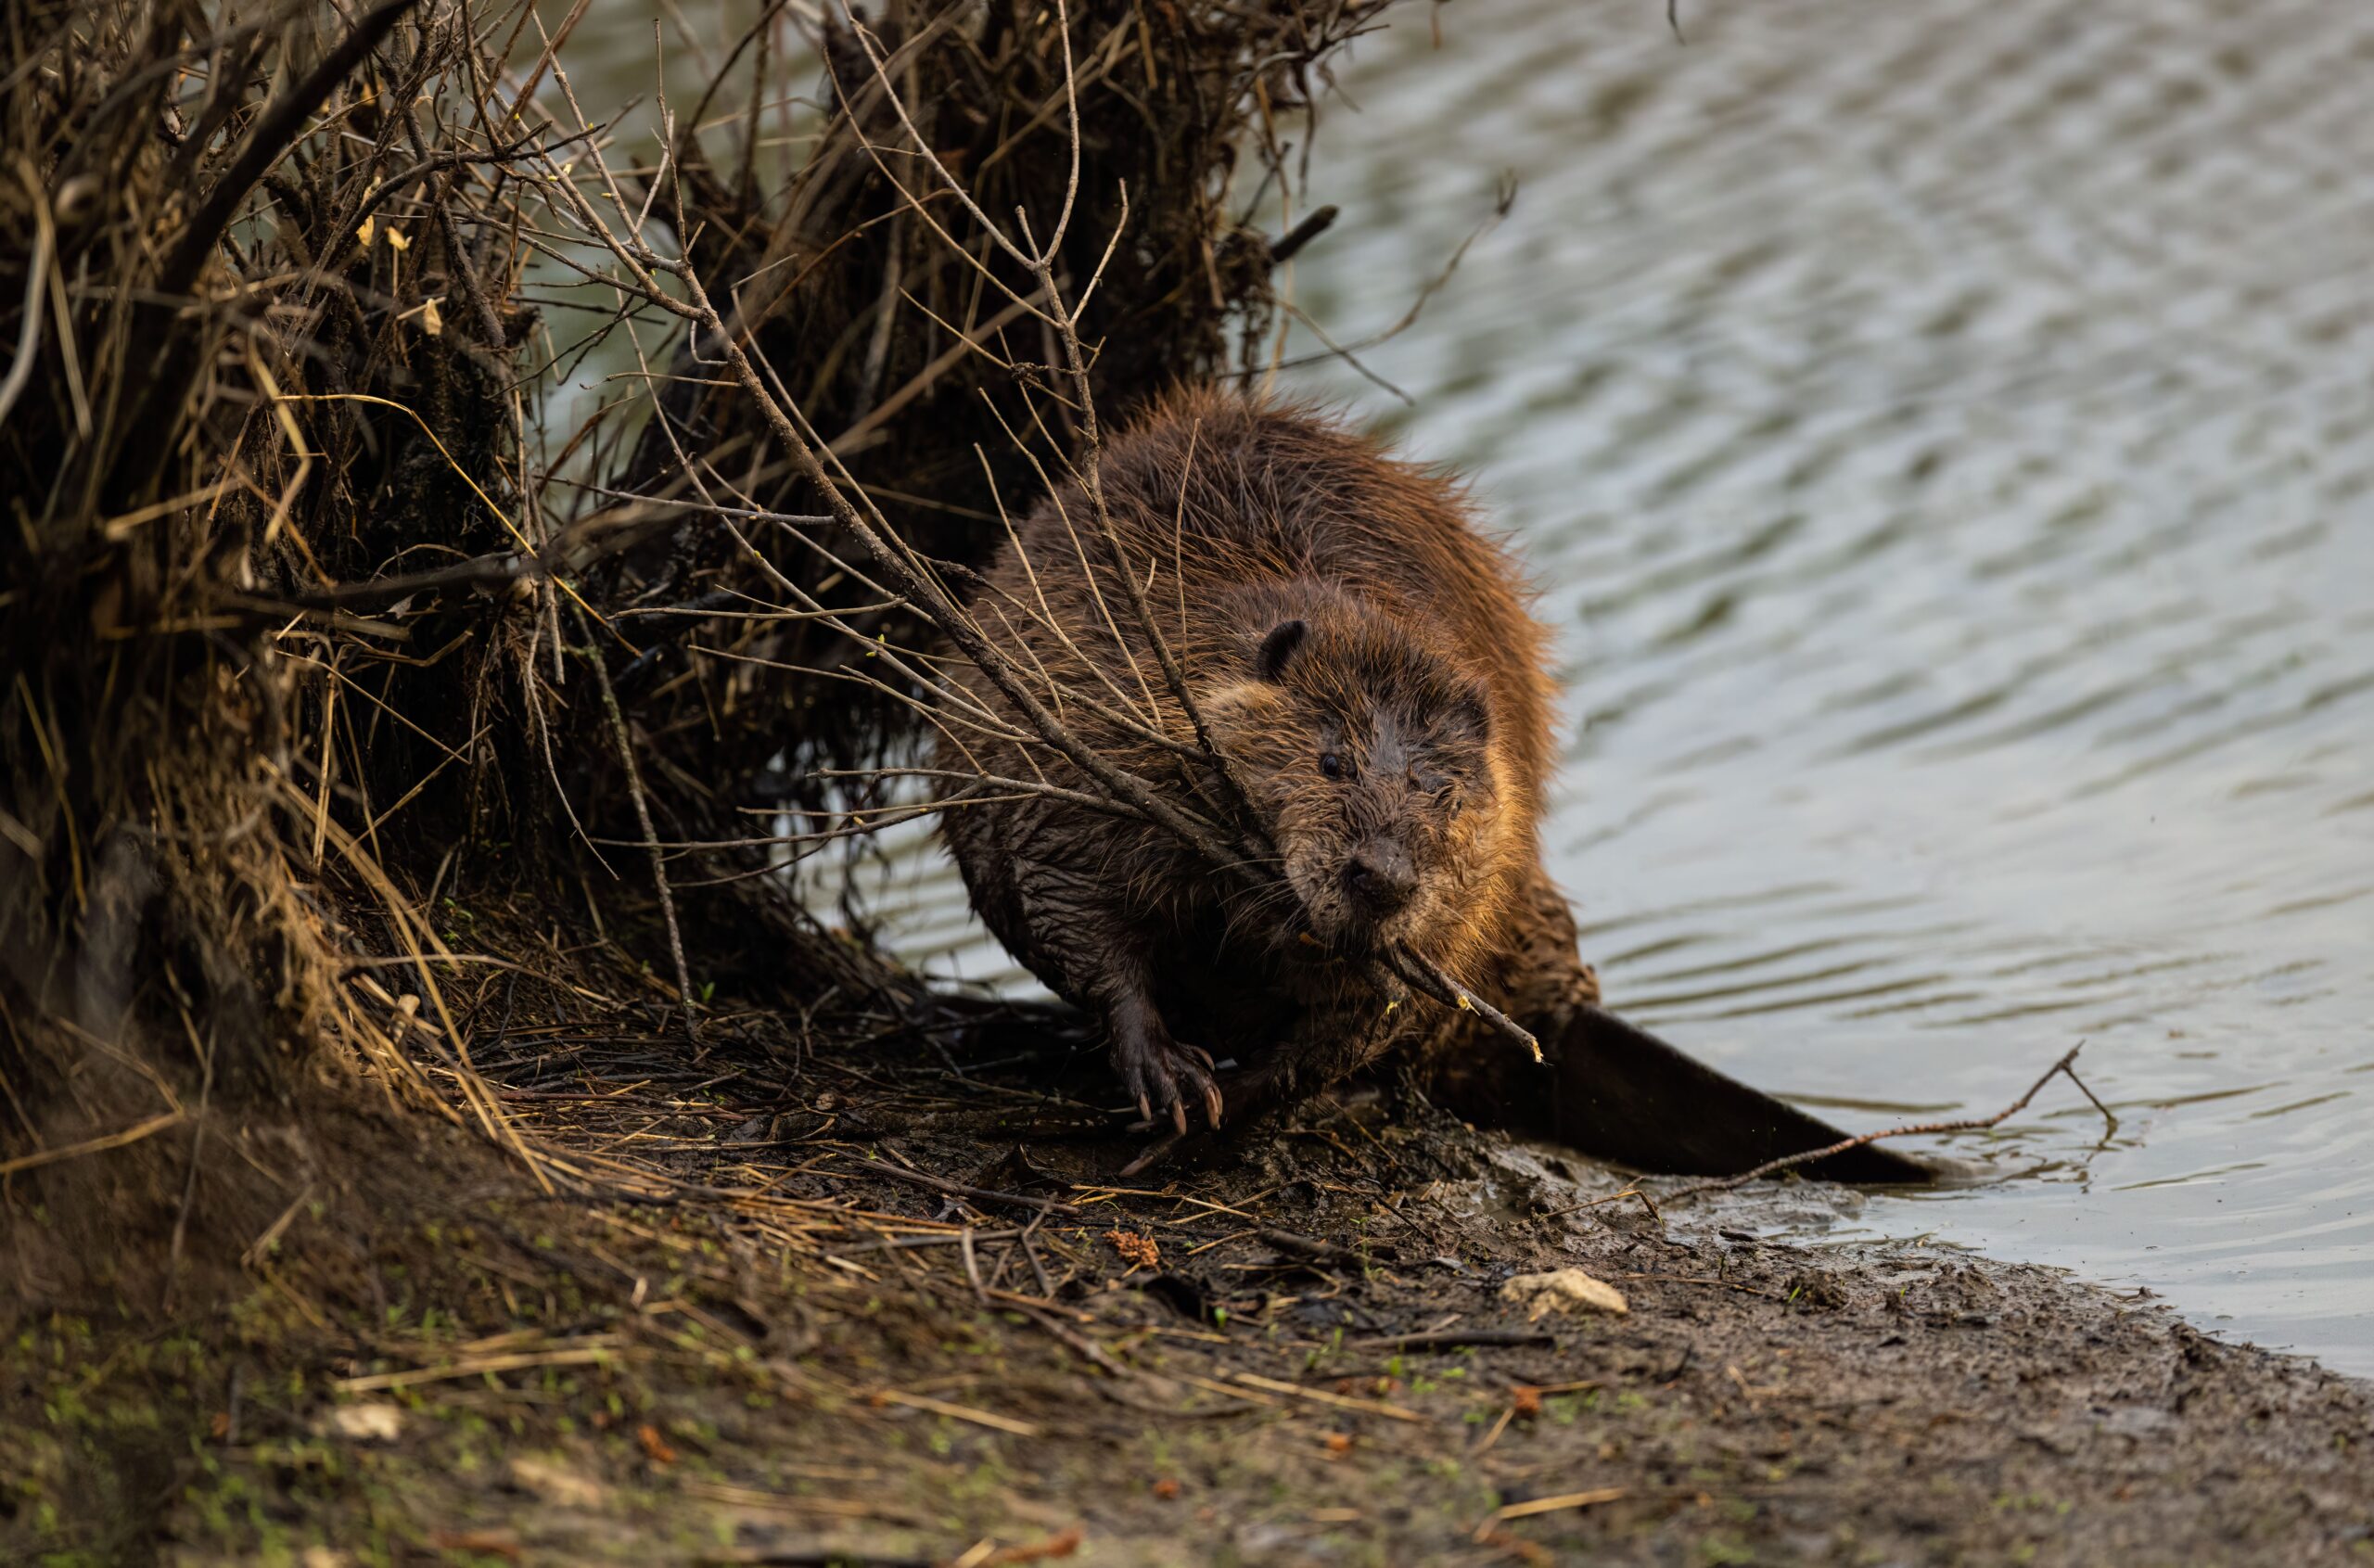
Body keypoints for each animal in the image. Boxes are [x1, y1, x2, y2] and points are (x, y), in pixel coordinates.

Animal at [930, 386, 1595, 1128]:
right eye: (1332, 763)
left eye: (1443, 796)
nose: (1383, 879)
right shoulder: (1085, 723)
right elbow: (1068, 895)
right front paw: (1175, 1078)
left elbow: (1369, 1015)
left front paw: (1245, 1093)